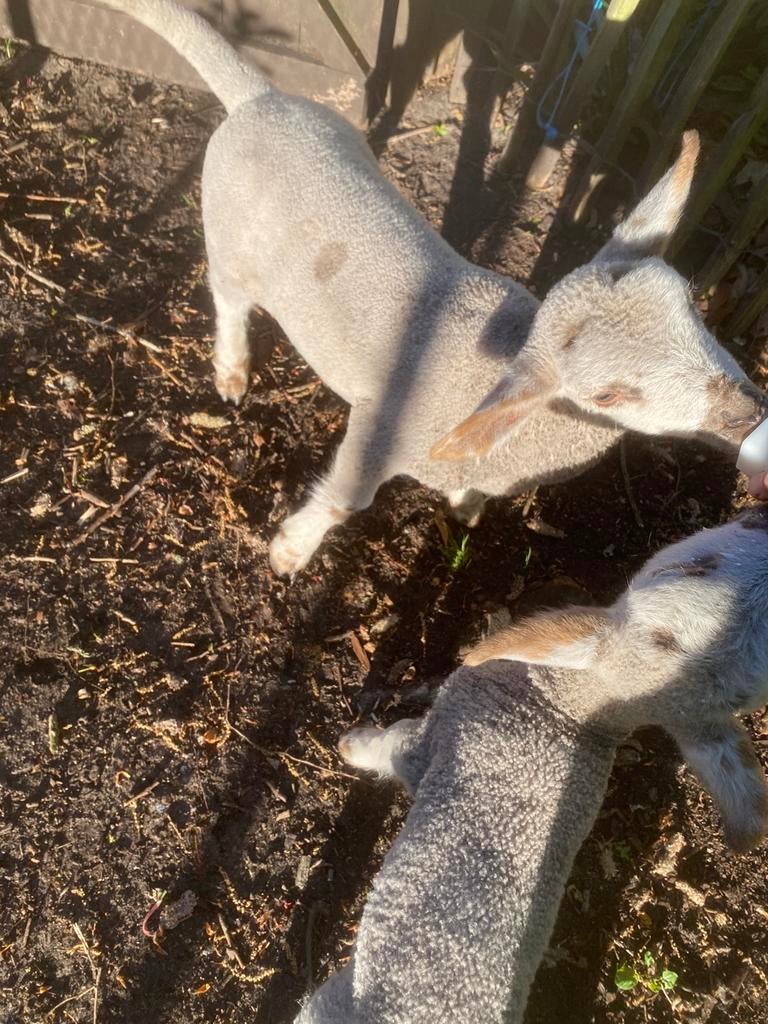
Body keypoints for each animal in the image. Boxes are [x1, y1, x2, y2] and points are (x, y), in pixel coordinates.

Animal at [105, 2, 767, 576]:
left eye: (691, 305)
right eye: (608, 394)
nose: (747, 412)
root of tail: (259, 99)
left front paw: (466, 502)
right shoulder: (379, 428)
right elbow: (345, 500)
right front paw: (291, 551)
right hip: (229, 238)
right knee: (228, 298)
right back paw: (232, 369)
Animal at [296, 508, 768, 1023]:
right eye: (697, 568)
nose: (760, 514)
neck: (572, 705)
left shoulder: (436, 730)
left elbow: (392, 744)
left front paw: (351, 745)